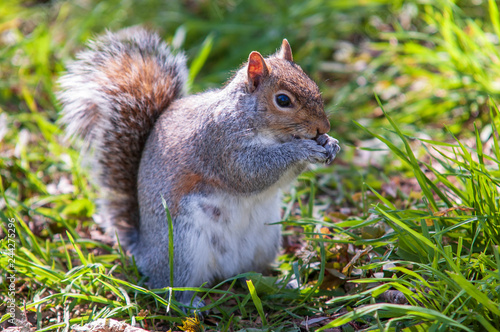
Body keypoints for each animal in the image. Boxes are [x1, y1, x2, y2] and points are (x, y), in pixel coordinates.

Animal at [57, 27, 340, 308]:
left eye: (314, 85)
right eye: (282, 100)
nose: (323, 127)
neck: (248, 117)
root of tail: (146, 252)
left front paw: (330, 143)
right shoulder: (219, 146)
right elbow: (251, 173)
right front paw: (303, 149)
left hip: (265, 239)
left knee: (251, 273)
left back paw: (281, 283)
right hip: (183, 247)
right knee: (172, 285)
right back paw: (188, 303)